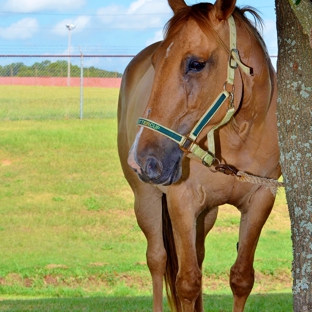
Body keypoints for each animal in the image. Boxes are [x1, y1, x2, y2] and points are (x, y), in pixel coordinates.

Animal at [117, 1, 280, 310]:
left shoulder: (261, 199)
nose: (141, 160)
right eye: (156, 62)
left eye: (196, 64)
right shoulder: (182, 200)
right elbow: (186, 284)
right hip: (147, 200)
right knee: (158, 260)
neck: (236, 138)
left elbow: (241, 278)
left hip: (206, 214)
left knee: (198, 257)